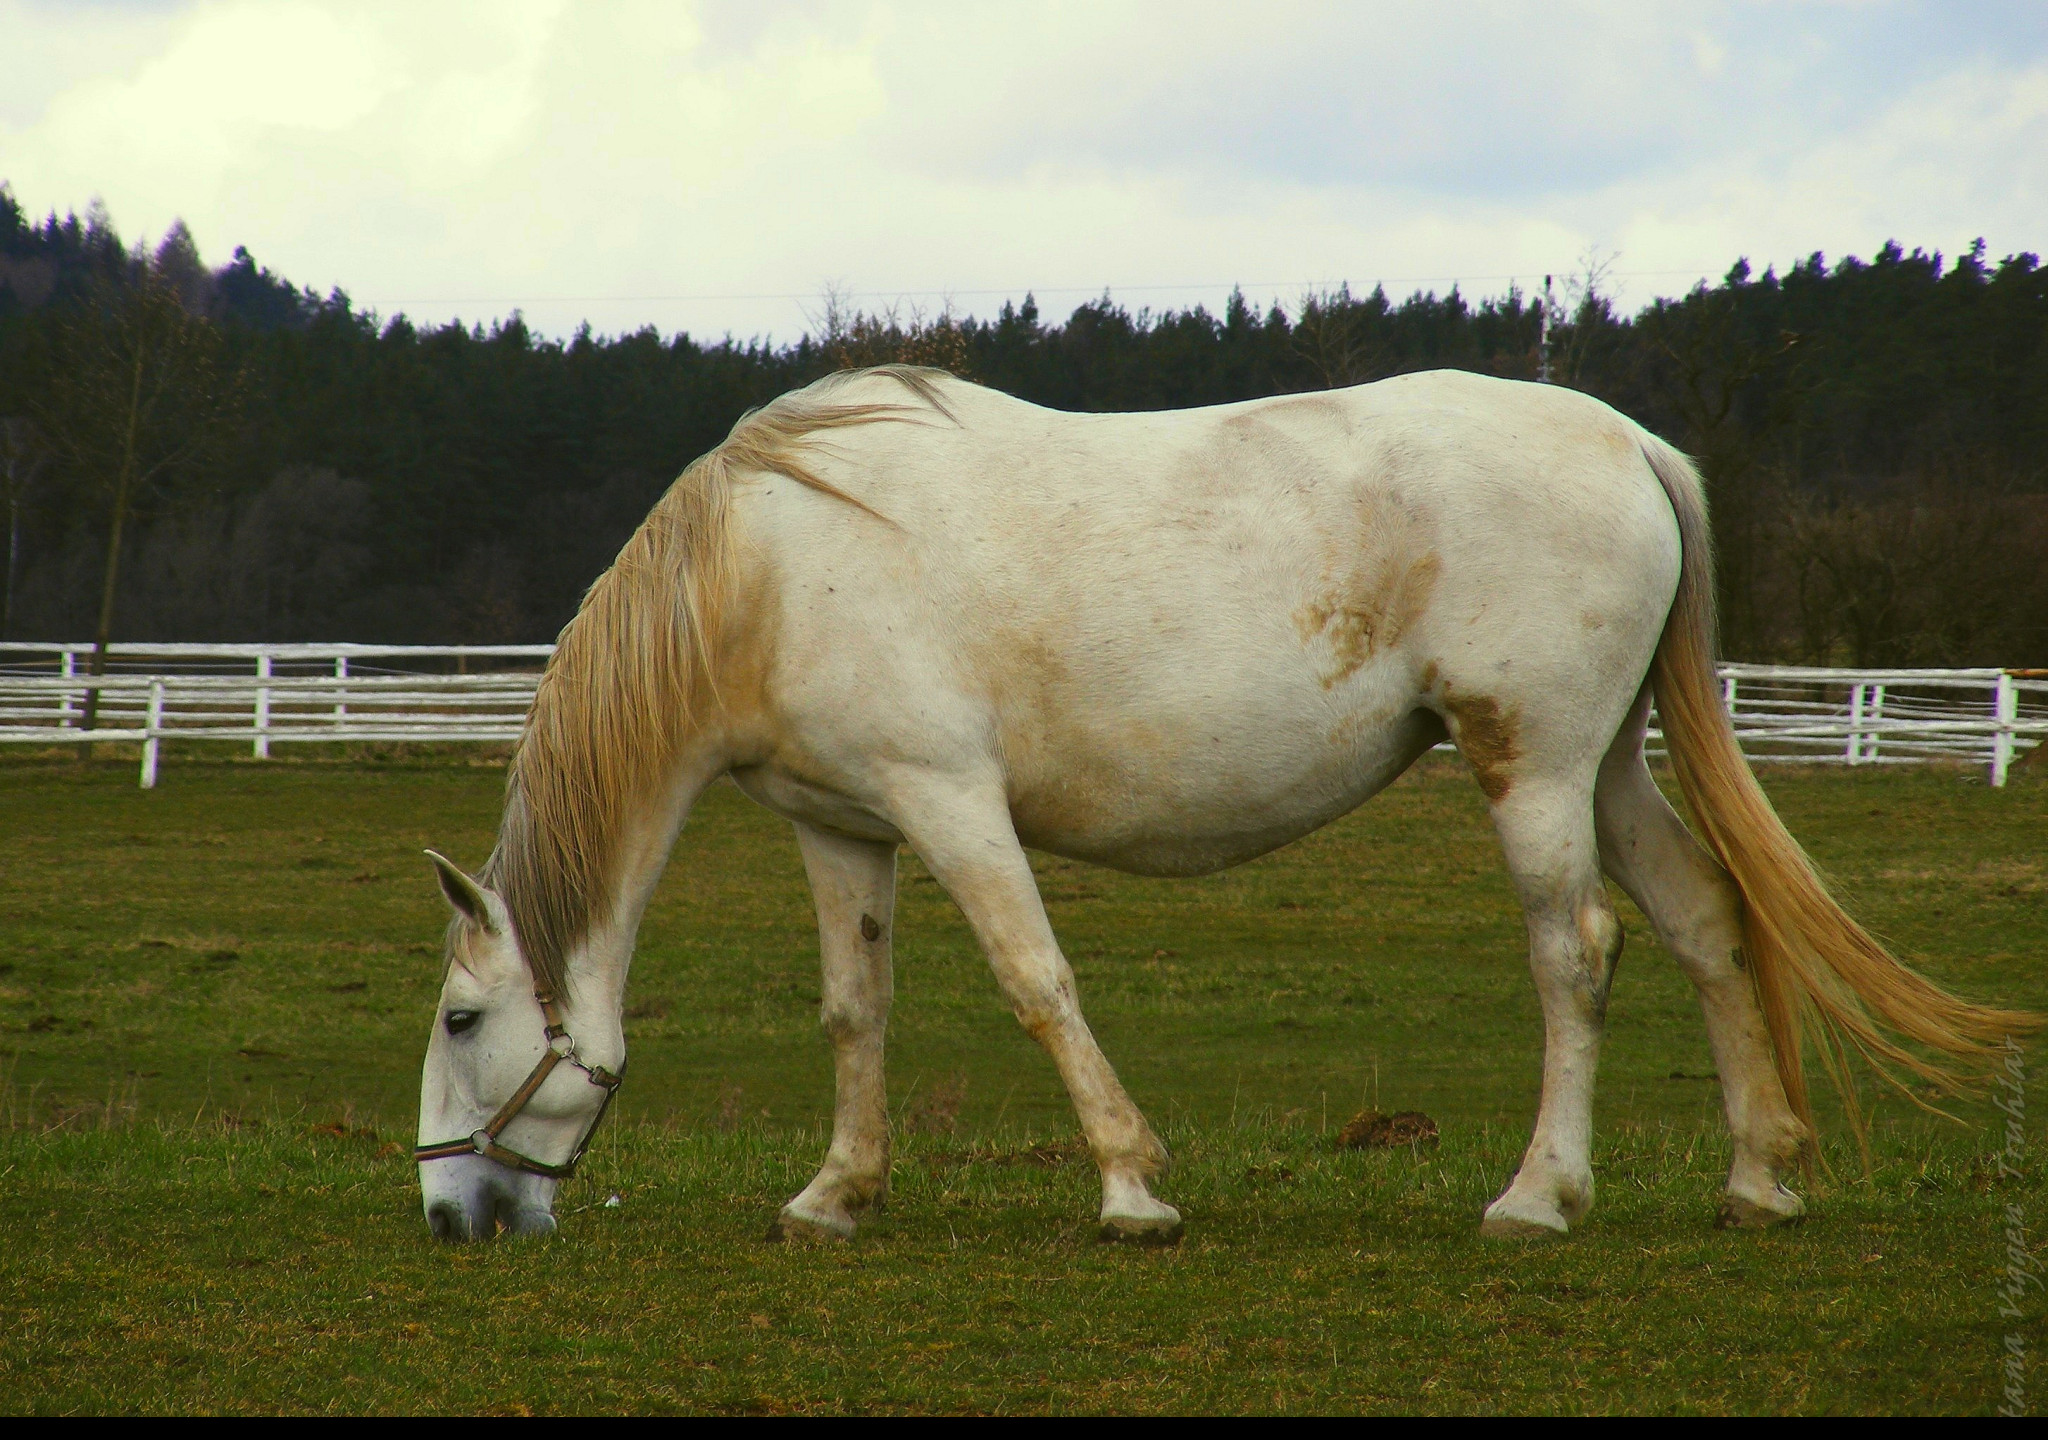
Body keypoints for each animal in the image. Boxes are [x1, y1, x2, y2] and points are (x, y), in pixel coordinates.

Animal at [415, 366, 2031, 1245]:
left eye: (458, 1018)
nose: (450, 1212)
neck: (766, 563)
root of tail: (1628, 441)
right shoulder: (845, 824)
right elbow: (853, 1012)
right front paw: (835, 1197)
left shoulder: (949, 799)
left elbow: (1036, 980)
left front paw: (1132, 1188)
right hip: (1608, 764)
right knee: (1701, 923)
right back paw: (1759, 1180)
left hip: (1534, 768)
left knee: (1574, 953)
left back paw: (1537, 1195)